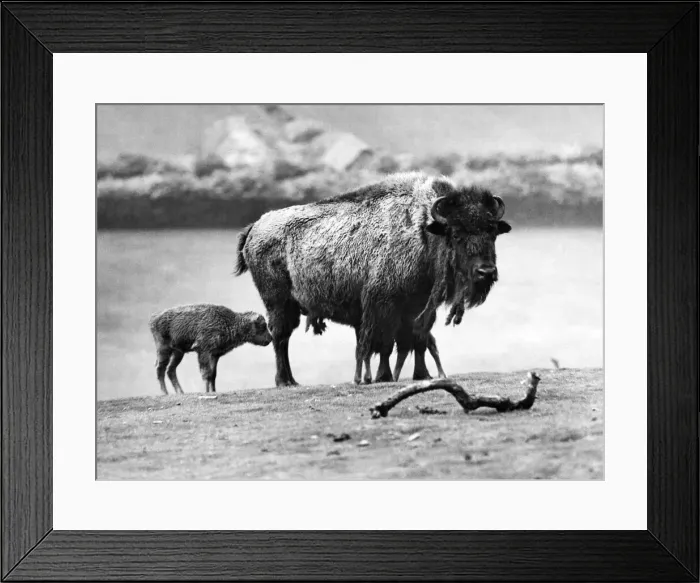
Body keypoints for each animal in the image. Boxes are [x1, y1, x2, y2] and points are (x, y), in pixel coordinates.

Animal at [235, 172, 511, 386]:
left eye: (492, 231)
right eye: (456, 233)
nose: (486, 272)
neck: (424, 229)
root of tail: (255, 226)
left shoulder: (419, 308)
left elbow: (417, 341)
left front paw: (422, 375)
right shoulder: (384, 306)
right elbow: (385, 344)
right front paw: (384, 377)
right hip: (278, 303)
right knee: (280, 337)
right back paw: (286, 381)